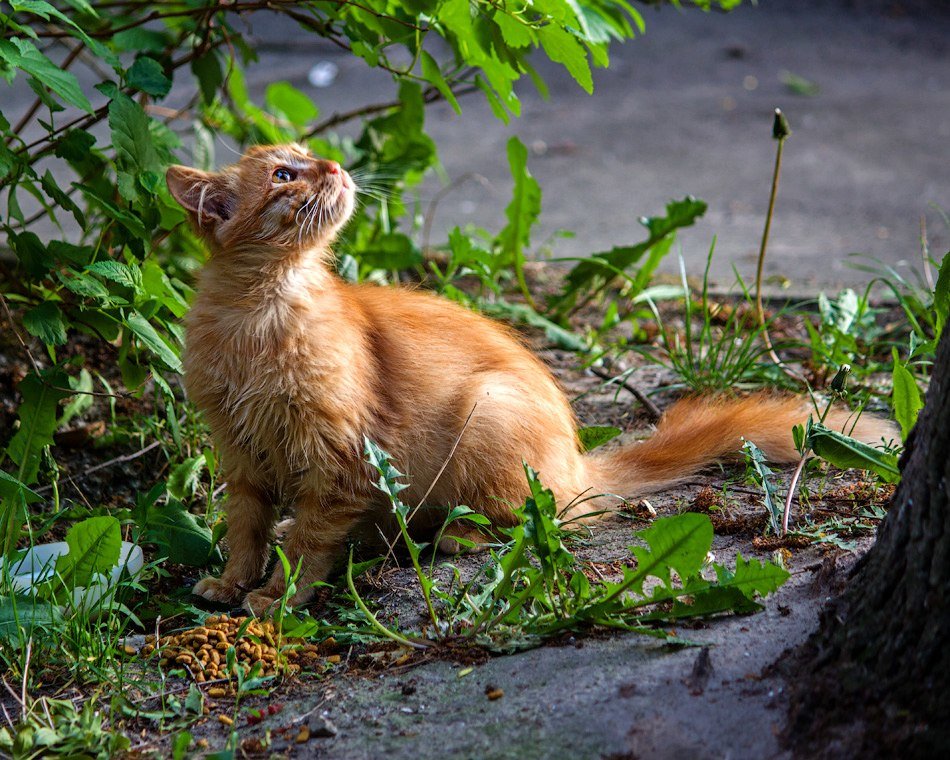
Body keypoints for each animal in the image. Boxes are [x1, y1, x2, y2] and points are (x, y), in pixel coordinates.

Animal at [165, 144, 900, 616]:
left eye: (311, 156)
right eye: (284, 172)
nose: (337, 168)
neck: (256, 318)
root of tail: (579, 463)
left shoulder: (340, 456)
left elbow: (311, 542)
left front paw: (277, 596)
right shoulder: (240, 454)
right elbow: (247, 528)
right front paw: (233, 581)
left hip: (487, 416)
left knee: (530, 520)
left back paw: (450, 535)